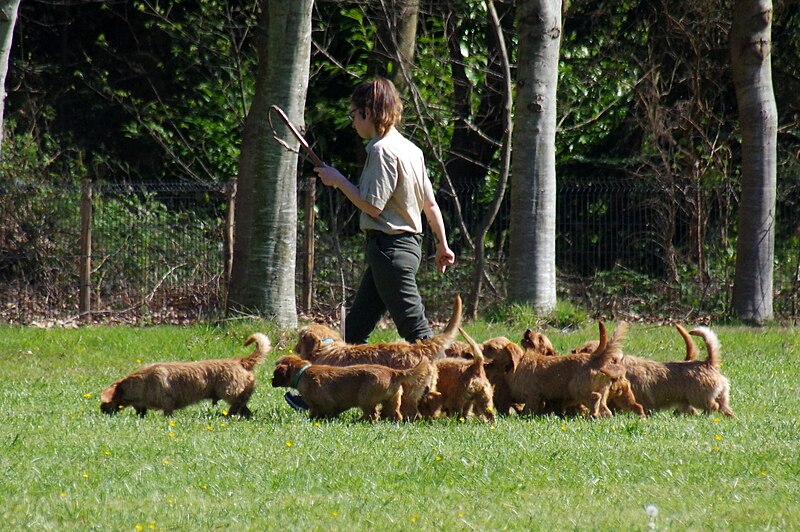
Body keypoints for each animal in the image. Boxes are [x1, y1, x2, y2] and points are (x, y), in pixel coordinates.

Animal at [100, 332, 272, 416]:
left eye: (106, 401)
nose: (101, 410)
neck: (142, 383)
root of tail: (241, 361)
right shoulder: (141, 405)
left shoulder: (168, 403)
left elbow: (168, 414)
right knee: (244, 410)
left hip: (229, 393)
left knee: (236, 406)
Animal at [270, 356, 434, 422]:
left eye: (275, 374)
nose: (270, 381)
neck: (303, 372)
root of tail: (394, 372)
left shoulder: (324, 404)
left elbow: (321, 412)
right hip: (392, 401)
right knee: (394, 414)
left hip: (365, 398)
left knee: (372, 415)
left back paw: (359, 421)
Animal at [294, 296, 460, 420]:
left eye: (300, 337)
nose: (295, 349)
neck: (326, 346)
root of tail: (418, 347)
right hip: (425, 389)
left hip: (408, 392)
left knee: (410, 413)